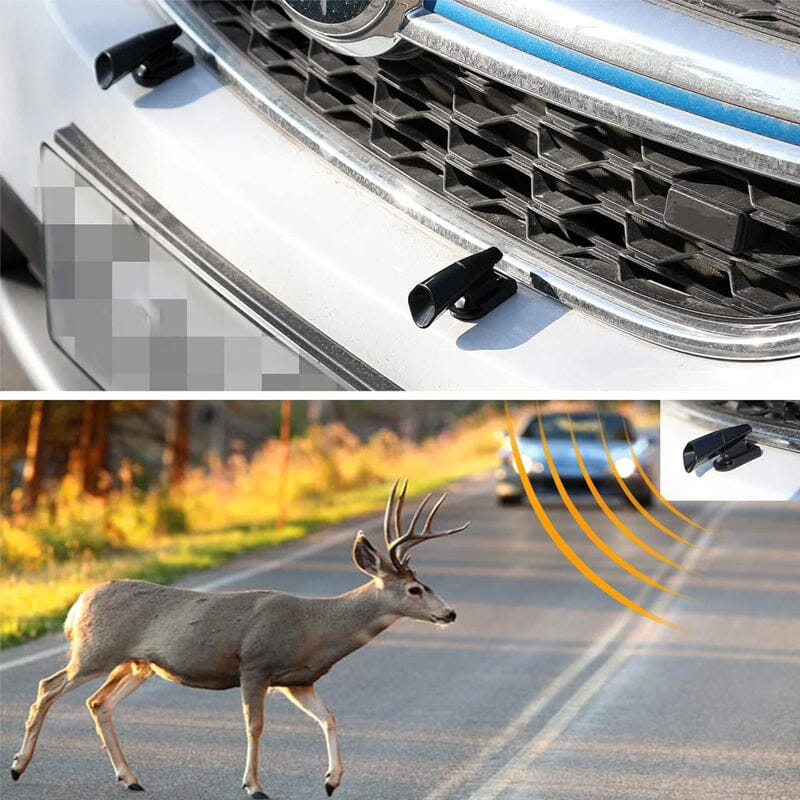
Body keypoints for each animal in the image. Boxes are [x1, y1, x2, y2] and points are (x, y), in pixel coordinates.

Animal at [10, 480, 469, 798]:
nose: (449, 613)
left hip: (137, 663)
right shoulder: (256, 664)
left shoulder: (299, 680)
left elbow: (329, 718)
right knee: (48, 686)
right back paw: (18, 766)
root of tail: (76, 606)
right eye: (415, 589)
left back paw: (130, 778)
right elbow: (255, 726)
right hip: (95, 650)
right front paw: (254, 786)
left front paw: (332, 780)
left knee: (98, 703)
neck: (317, 627)